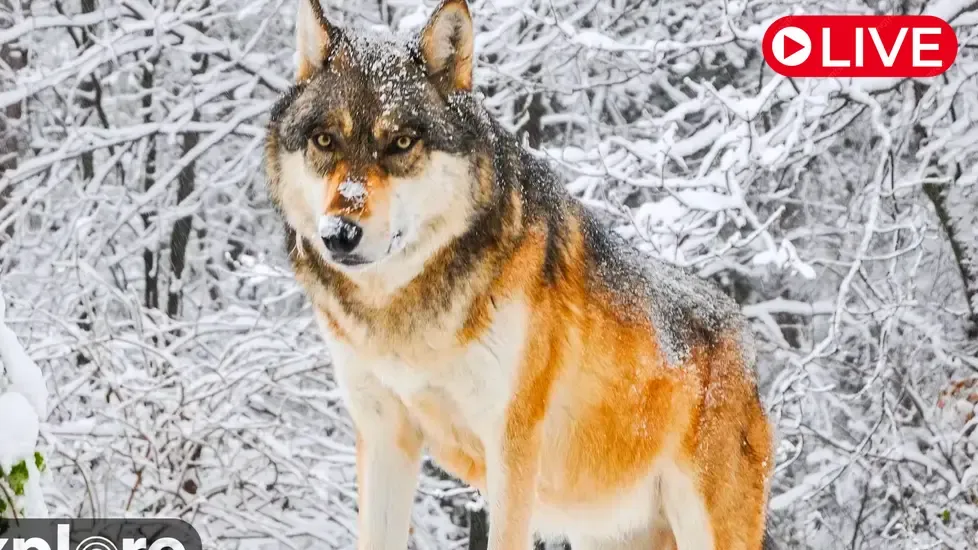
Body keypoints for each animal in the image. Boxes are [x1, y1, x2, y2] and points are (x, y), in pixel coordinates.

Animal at [264, 0, 777, 548]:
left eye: (401, 142)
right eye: (324, 140)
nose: (339, 234)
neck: (403, 314)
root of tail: (743, 340)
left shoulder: (511, 446)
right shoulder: (384, 436)